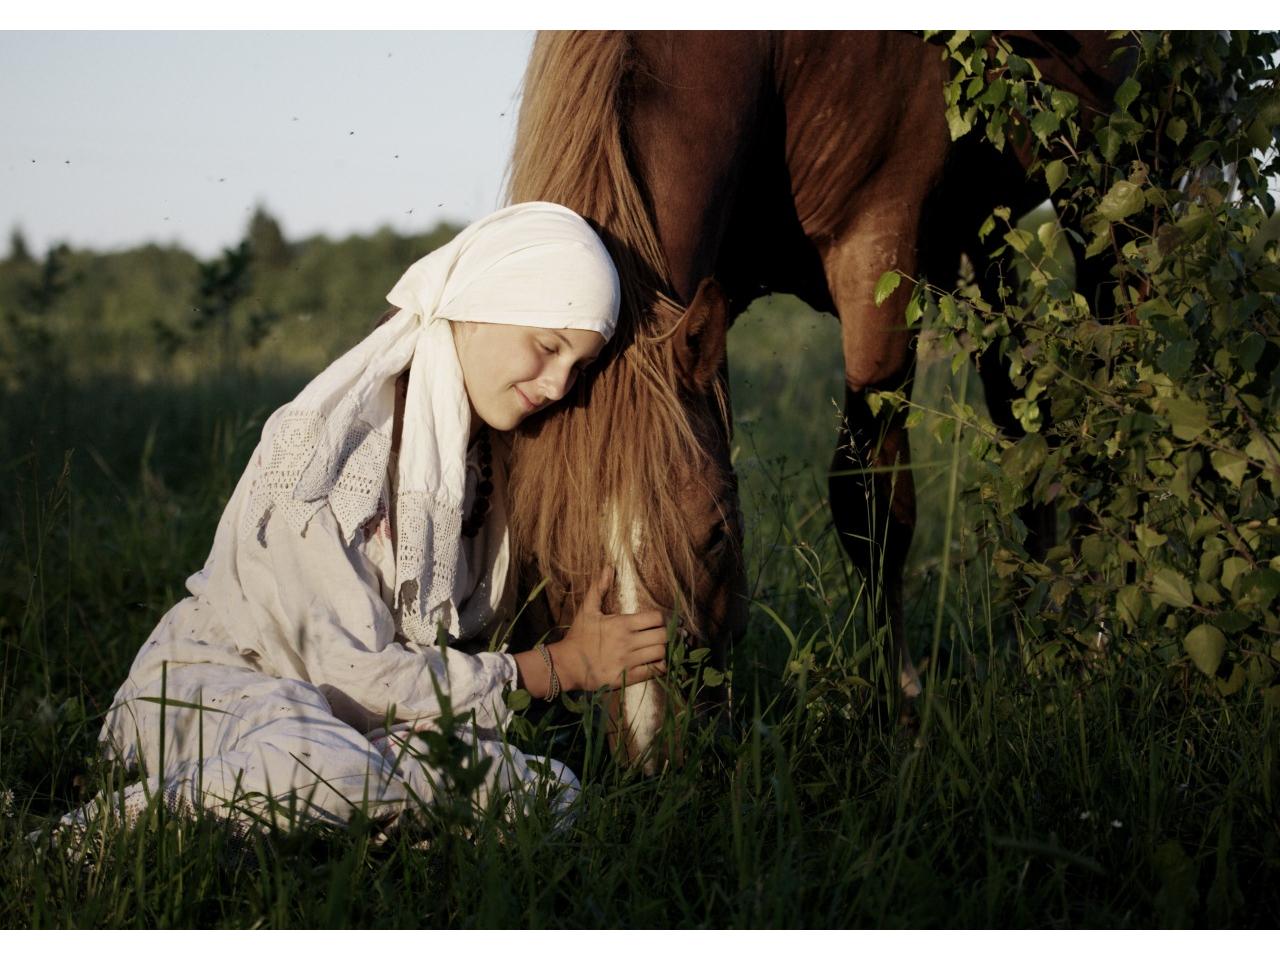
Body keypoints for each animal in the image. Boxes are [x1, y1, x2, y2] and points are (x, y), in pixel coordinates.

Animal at [504, 32, 1126, 757]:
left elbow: (869, 505)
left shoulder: (879, 262)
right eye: (549, 553)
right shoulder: (714, 309)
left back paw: (1099, 634)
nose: (654, 750)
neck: (778, 60)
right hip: (990, 237)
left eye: (715, 533)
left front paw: (900, 706)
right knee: (1027, 431)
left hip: (1111, 188)